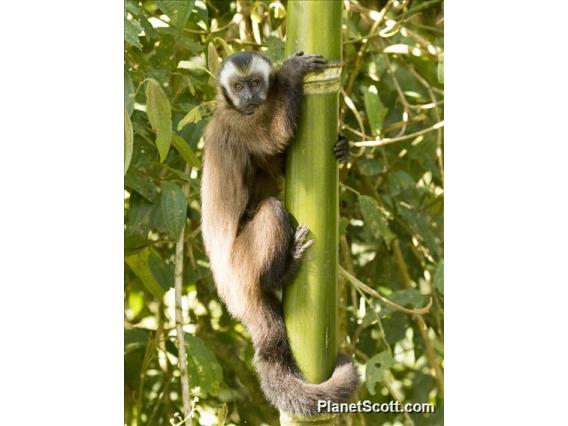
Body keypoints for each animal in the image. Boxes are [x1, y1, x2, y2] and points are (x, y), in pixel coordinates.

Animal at [202, 50, 358, 416]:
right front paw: (291, 74)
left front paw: (344, 150)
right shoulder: (237, 125)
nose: (248, 97)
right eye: (239, 86)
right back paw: (282, 273)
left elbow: (274, 163)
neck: (233, 109)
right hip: (242, 265)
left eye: (255, 83)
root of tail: (232, 294)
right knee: (272, 210)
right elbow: (275, 135)